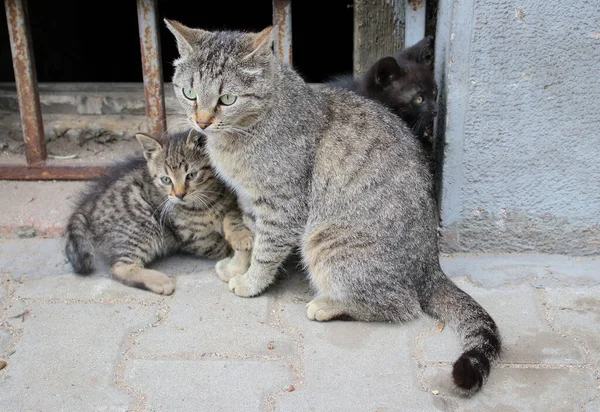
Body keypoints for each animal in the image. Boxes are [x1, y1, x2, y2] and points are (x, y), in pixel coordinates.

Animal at [64, 130, 252, 294]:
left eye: (191, 175)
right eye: (166, 180)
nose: (179, 195)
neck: (204, 203)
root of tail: (88, 205)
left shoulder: (233, 200)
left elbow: (232, 216)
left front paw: (240, 236)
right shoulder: (193, 238)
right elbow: (219, 246)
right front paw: (234, 252)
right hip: (142, 225)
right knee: (119, 267)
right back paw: (159, 281)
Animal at [164, 20, 502, 394]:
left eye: (227, 99)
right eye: (189, 93)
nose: (201, 121)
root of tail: (431, 267)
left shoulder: (282, 204)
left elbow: (266, 250)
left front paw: (252, 281)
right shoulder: (250, 198)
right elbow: (248, 238)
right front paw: (238, 266)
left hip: (327, 242)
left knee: (401, 305)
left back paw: (328, 305)